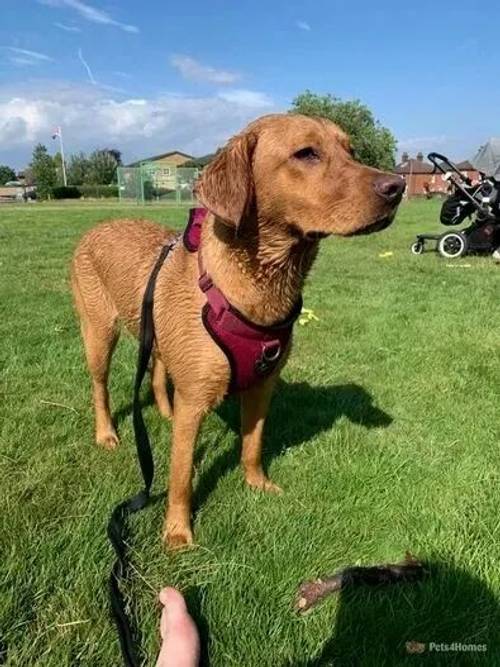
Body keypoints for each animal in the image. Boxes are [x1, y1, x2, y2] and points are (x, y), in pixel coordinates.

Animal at [71, 112, 406, 544]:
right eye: (306, 153)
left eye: (350, 150)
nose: (397, 187)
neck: (257, 292)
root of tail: (96, 227)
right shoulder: (195, 401)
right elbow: (180, 475)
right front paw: (177, 532)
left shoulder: (263, 386)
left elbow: (253, 444)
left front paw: (257, 484)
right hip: (99, 334)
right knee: (100, 387)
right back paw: (107, 434)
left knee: (158, 370)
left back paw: (164, 411)